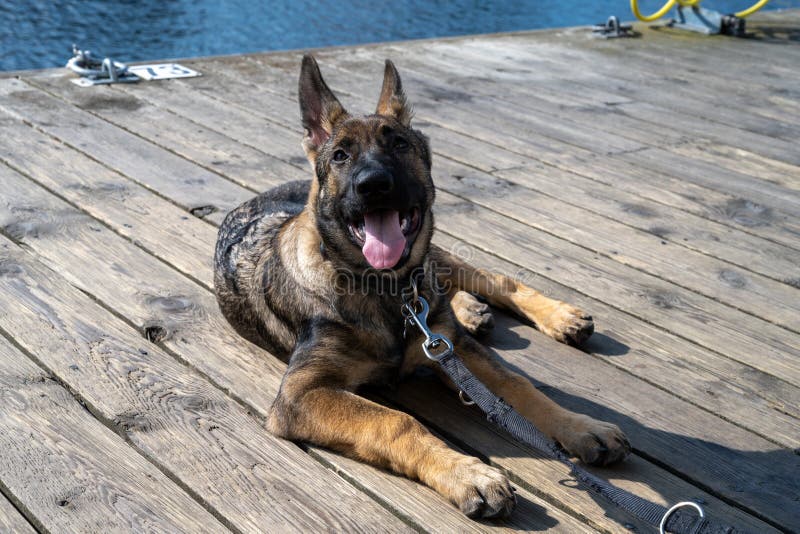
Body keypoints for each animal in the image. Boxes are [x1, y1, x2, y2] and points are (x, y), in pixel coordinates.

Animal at [216, 54, 628, 520]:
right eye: (340, 155)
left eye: (399, 145)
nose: (373, 185)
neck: (389, 293)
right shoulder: (301, 393)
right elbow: (396, 420)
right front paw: (468, 474)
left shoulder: (458, 351)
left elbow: (520, 388)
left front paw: (582, 426)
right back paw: (471, 310)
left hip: (441, 257)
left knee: (492, 280)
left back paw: (556, 316)